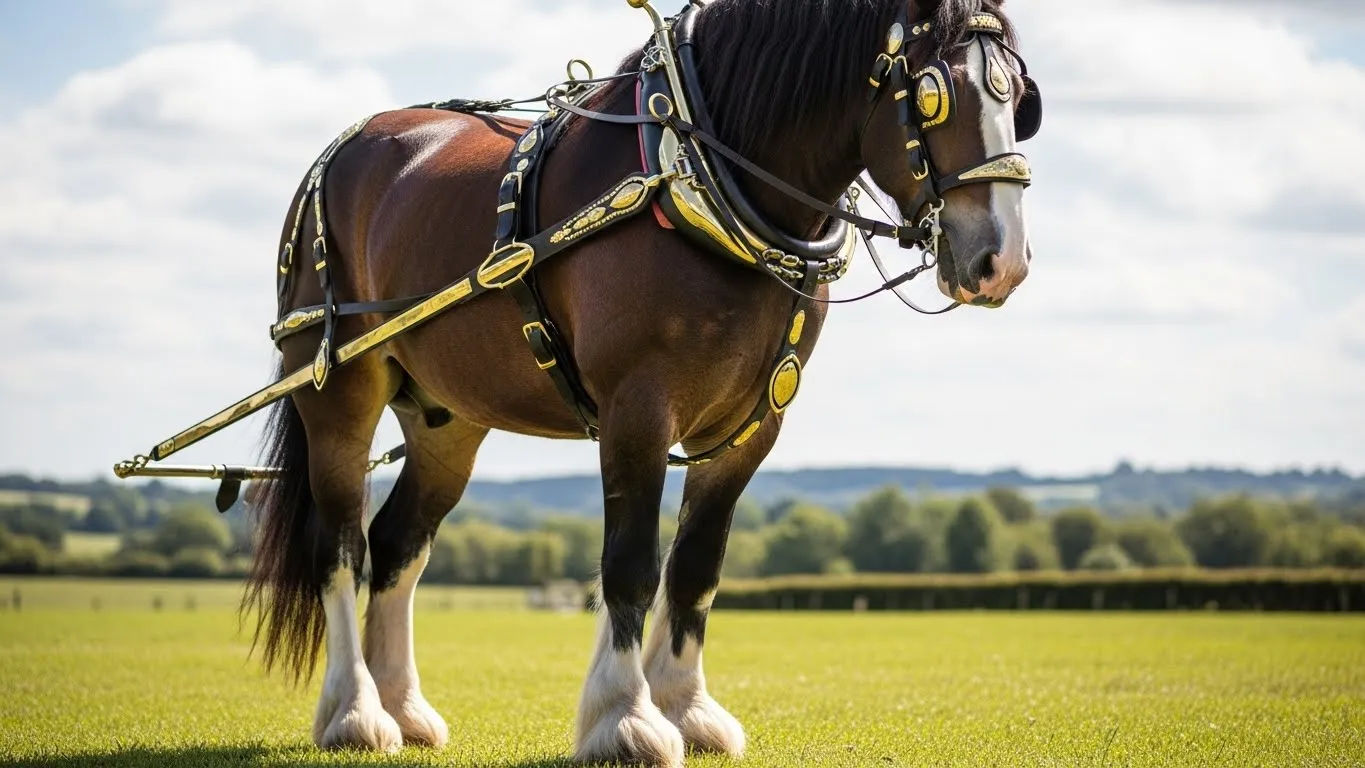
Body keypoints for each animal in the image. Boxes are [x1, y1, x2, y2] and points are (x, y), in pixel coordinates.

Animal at [243, 0, 1034, 764]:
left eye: (1021, 100)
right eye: (933, 93)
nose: (1001, 261)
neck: (701, 178)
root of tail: (345, 148)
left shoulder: (752, 424)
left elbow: (696, 566)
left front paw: (686, 708)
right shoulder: (637, 407)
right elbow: (629, 564)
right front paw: (624, 718)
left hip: (448, 418)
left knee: (398, 543)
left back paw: (403, 709)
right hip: (335, 389)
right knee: (341, 544)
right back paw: (354, 712)